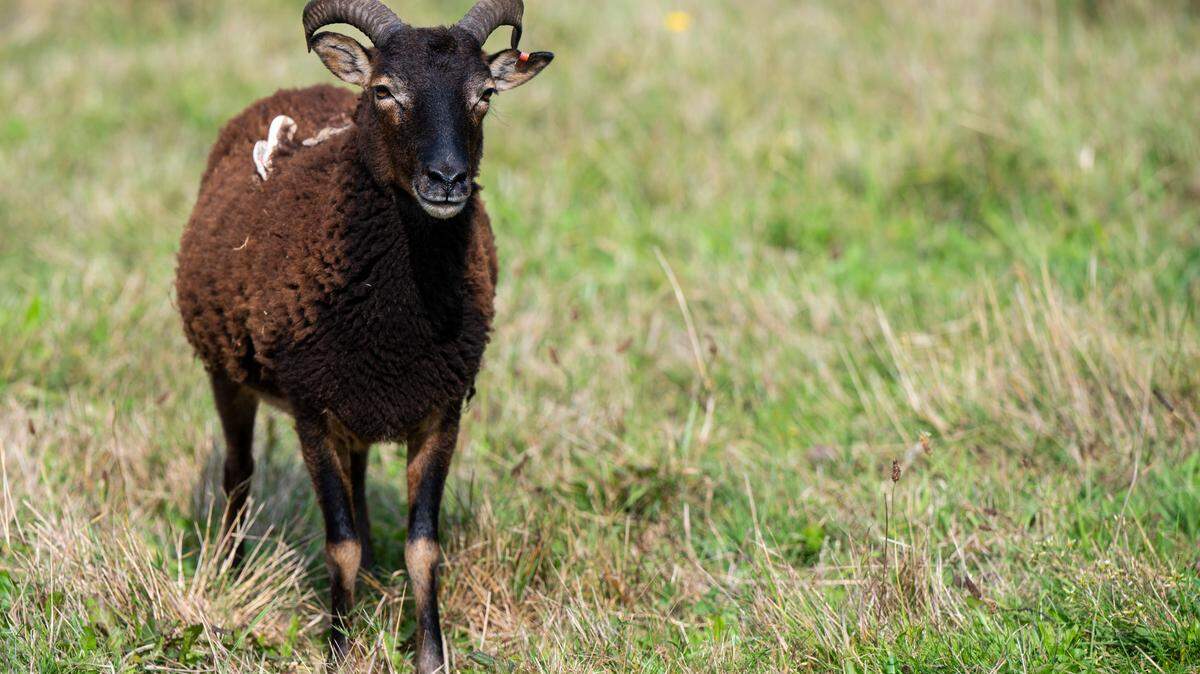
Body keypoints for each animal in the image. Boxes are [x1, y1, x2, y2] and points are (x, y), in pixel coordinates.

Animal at [174, 0, 552, 668]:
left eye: (483, 94)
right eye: (384, 91)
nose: (447, 179)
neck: (398, 319)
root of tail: (300, 88)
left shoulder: (440, 407)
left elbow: (424, 547)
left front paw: (432, 656)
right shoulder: (311, 408)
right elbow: (339, 544)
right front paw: (337, 651)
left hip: (359, 397)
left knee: (356, 472)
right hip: (229, 373)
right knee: (239, 469)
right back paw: (230, 570)